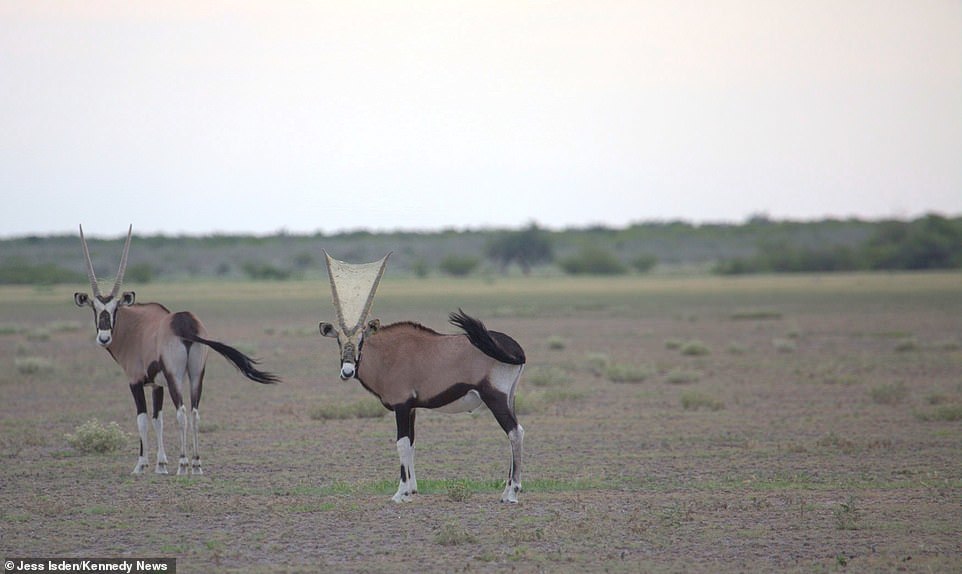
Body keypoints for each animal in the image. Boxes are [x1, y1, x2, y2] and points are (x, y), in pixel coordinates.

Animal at [74, 226, 278, 476]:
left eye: (115, 309)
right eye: (95, 308)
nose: (104, 338)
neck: (136, 327)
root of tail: (185, 324)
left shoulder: (135, 382)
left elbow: (143, 419)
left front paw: (141, 465)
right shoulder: (156, 385)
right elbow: (157, 419)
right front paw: (161, 465)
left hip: (176, 377)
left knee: (181, 412)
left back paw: (183, 464)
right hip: (197, 374)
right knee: (195, 412)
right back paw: (197, 464)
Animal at [320, 310, 524, 504]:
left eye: (361, 340)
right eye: (338, 340)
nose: (347, 371)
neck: (388, 354)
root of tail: (515, 348)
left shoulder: (401, 406)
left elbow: (402, 444)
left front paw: (400, 493)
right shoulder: (411, 409)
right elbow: (411, 443)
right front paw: (411, 492)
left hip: (495, 399)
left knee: (514, 432)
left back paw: (511, 493)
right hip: (509, 399)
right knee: (516, 432)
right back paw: (507, 491)